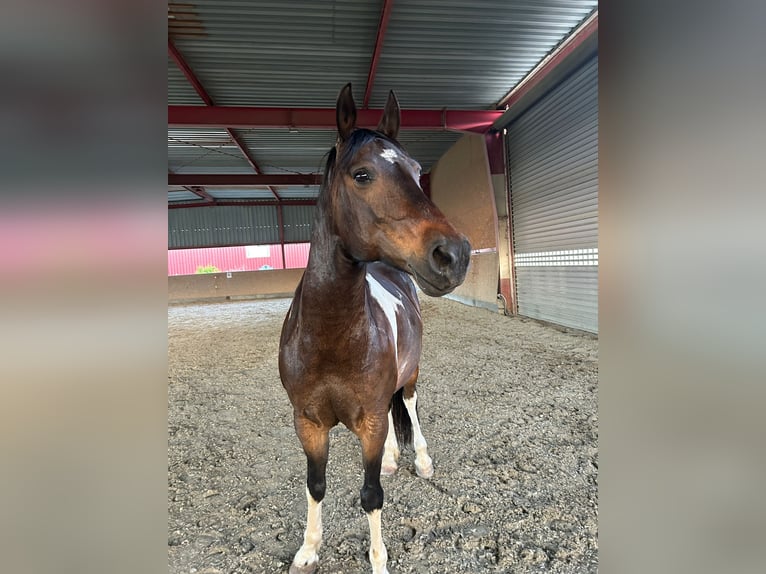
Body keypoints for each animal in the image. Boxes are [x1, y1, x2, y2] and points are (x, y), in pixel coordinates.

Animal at [278, 83, 470, 574]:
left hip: (411, 376)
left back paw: (419, 459)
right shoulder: (308, 423)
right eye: (361, 175)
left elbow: (370, 496)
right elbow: (315, 485)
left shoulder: (369, 421)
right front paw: (308, 549)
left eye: (418, 172)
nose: (454, 254)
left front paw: (379, 559)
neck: (331, 337)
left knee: (411, 407)